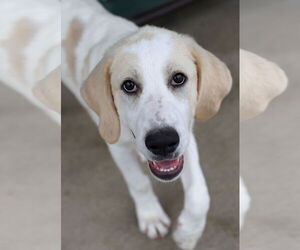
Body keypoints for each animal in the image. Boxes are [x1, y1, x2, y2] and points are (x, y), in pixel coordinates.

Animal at [61, 0, 232, 249]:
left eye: (178, 78)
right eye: (129, 85)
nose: (162, 143)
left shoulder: (186, 136)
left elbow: (200, 193)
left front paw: (188, 233)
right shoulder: (117, 146)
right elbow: (138, 182)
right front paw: (151, 216)